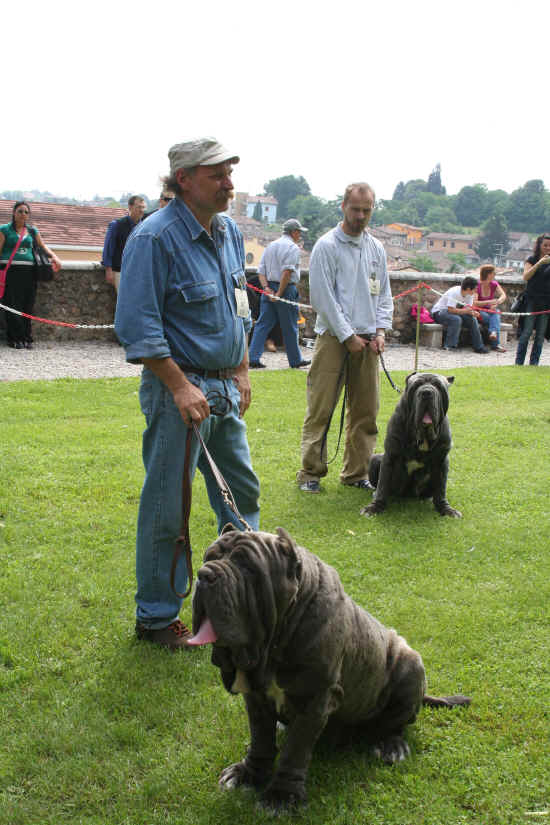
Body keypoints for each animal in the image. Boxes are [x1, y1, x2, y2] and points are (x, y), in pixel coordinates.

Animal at [189, 524, 470, 808]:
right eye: (208, 558)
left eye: (247, 567)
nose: (204, 575)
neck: (278, 637)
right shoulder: (256, 697)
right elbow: (261, 739)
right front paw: (248, 774)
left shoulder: (314, 699)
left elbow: (295, 751)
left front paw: (281, 795)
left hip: (411, 665)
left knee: (395, 723)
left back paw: (391, 745)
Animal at [362, 372, 462, 516]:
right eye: (416, 386)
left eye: (438, 386)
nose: (427, 392)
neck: (421, 435)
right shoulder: (390, 456)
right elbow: (383, 484)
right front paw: (375, 507)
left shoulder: (442, 461)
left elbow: (441, 489)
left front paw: (446, 509)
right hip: (375, 459)